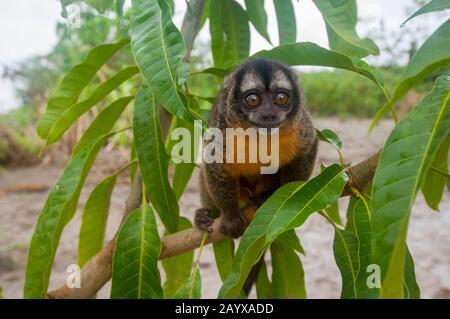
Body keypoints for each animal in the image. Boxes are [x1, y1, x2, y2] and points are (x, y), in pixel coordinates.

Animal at [194, 58, 316, 238]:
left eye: (281, 98)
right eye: (253, 100)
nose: (268, 114)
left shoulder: (300, 123)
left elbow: (307, 150)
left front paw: (286, 198)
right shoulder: (222, 124)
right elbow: (213, 164)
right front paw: (231, 217)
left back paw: (264, 195)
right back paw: (203, 217)